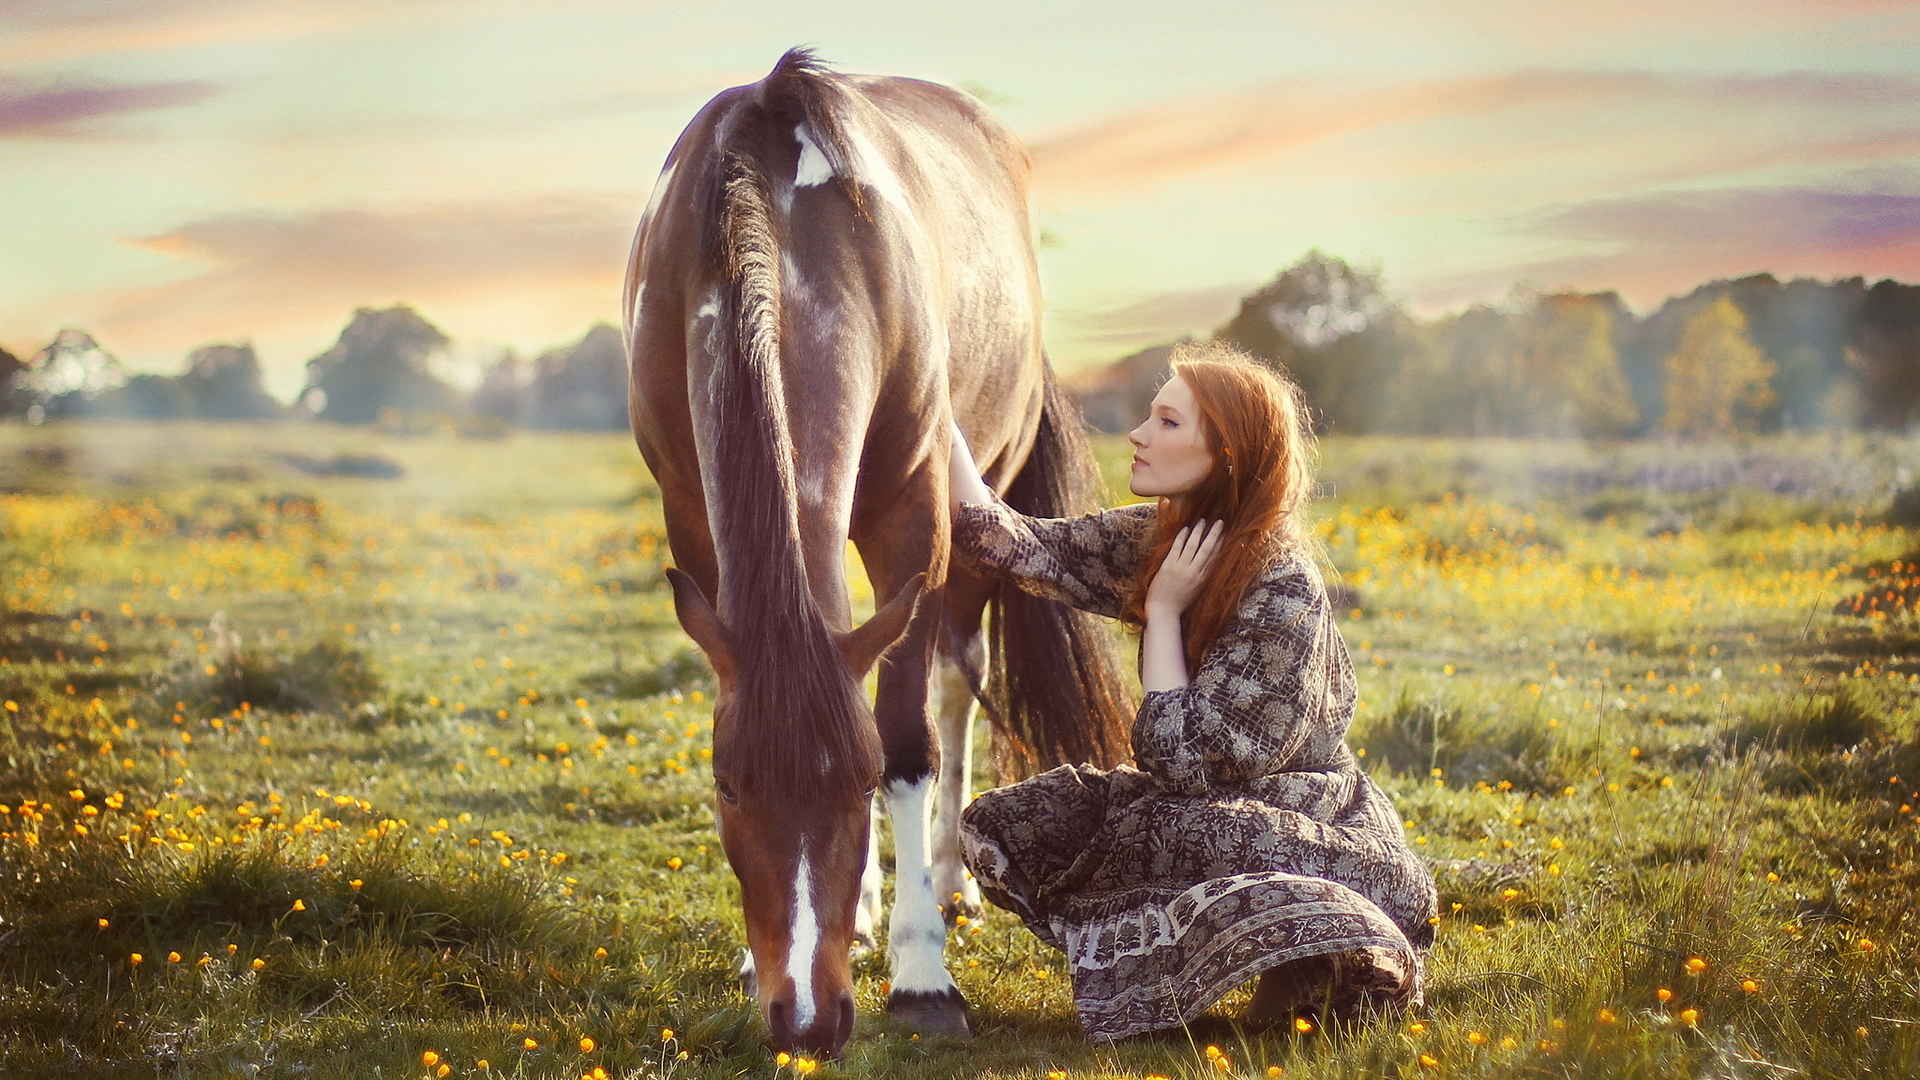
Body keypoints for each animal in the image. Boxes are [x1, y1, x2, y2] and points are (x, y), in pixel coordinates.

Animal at [622, 48, 1128, 1053]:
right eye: (728, 785)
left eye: (854, 784)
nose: (807, 1021)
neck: (773, 219)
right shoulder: (691, 518)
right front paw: (771, 955)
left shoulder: (913, 519)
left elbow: (908, 742)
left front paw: (923, 976)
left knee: (955, 679)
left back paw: (947, 882)